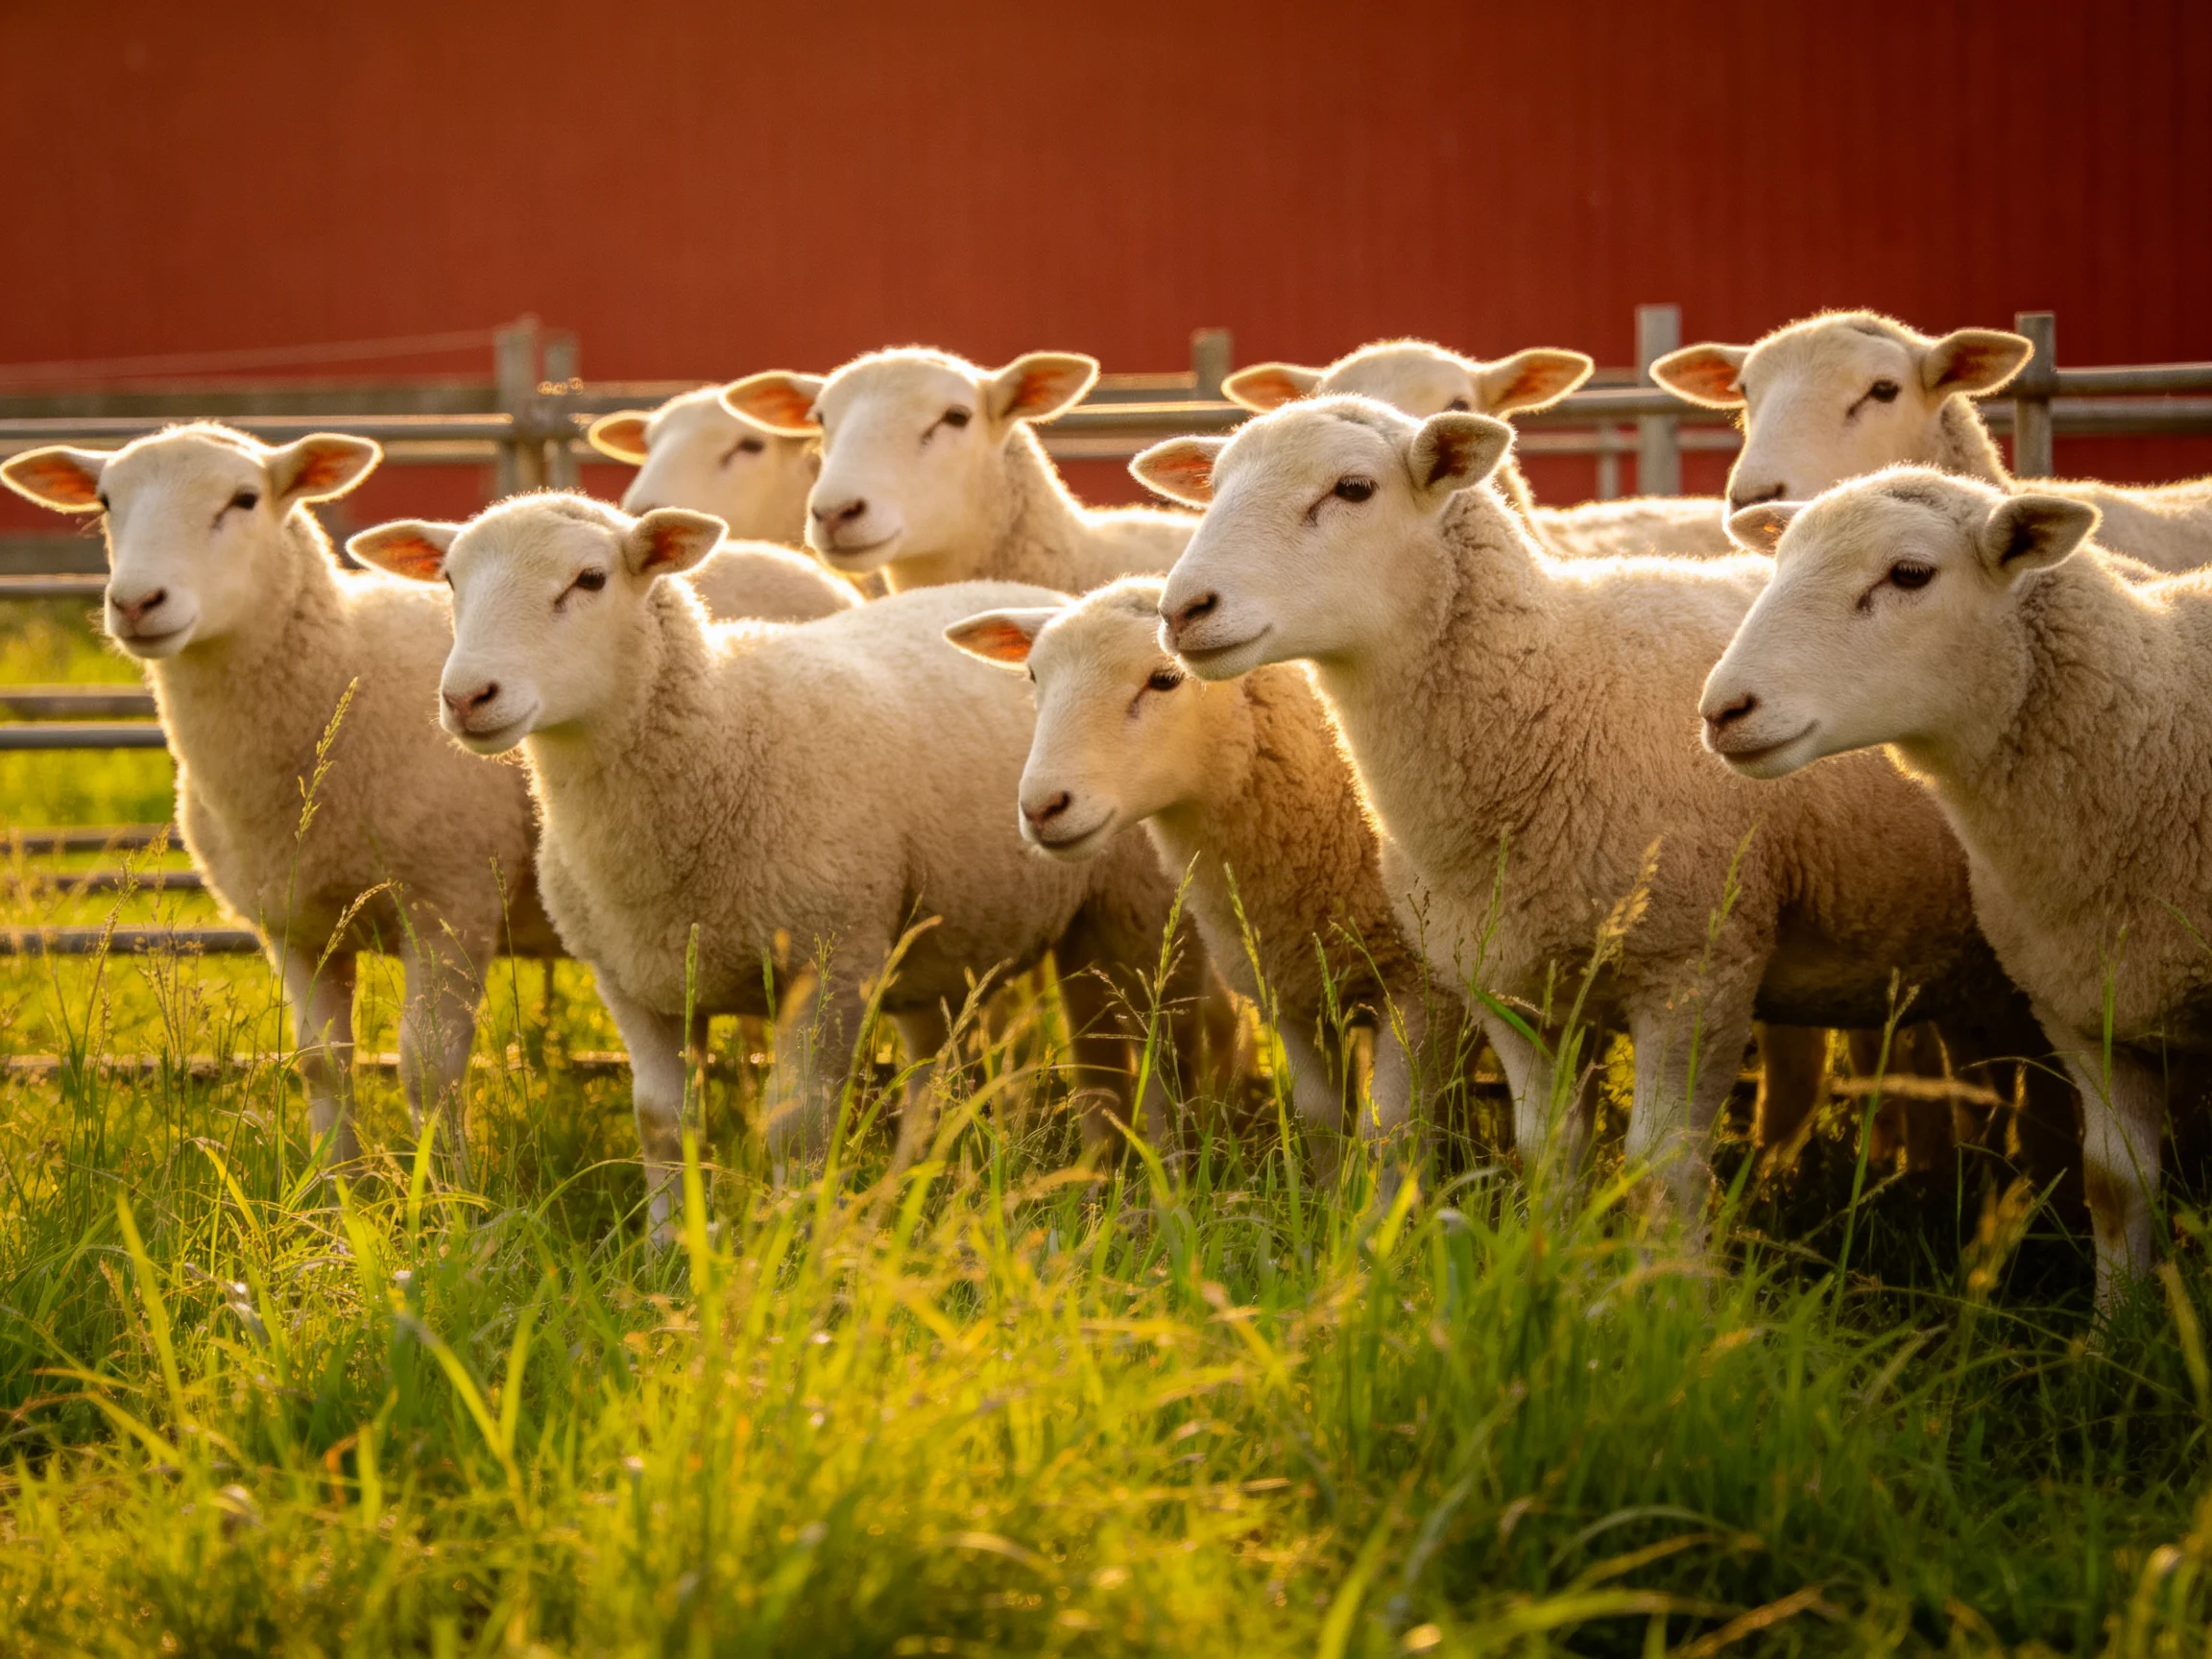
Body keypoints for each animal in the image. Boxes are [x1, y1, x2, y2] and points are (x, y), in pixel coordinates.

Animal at [0, 423, 556, 1172]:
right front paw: (334, 1188)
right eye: (106, 500)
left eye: (243, 498)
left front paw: (448, 1191)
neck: (350, 666)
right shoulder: (294, 924)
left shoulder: (452, 900)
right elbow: (322, 1063)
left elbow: (428, 1069)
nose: (136, 603)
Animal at [348, 493, 1202, 1231]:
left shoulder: (826, 959)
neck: (725, 735)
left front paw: (795, 1243)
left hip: (1130, 908)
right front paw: (670, 1244)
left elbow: (798, 1123)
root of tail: (1023, 594)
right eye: (449, 580)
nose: (467, 698)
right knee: (946, 1073)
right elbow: (661, 1121)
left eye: (589, 579)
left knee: (1154, 1051)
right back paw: (923, 1186)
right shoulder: (634, 978)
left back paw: (1158, 1182)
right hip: (942, 939)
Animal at [944, 577, 1467, 1155]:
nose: (1041, 808)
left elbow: (1391, 1129)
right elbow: (1322, 1121)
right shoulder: (1289, 990)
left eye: (1165, 679)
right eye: (1035, 676)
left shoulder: (1424, 988)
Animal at [1136, 400, 2070, 1225]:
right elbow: (1549, 1151)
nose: (1182, 610)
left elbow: (1663, 1166)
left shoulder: (1695, 966)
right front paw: (1555, 1261)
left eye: (1354, 488)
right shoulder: (1506, 985)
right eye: (1214, 486)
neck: (1558, 693)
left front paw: (1672, 1294)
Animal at [1702, 467, 2212, 1301]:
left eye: (1910, 574)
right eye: (1776, 566)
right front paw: (2115, 1327)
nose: (1722, 711)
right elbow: (2114, 1187)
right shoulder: (2083, 1011)